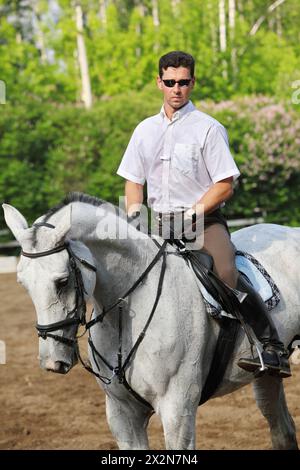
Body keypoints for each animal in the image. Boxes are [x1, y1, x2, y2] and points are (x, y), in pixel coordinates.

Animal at [2, 193, 300, 450]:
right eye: (23, 283)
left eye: (62, 282)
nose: (52, 361)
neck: (125, 310)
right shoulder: (122, 414)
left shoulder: (177, 409)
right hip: (266, 377)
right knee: (281, 428)